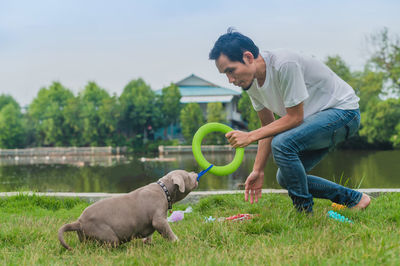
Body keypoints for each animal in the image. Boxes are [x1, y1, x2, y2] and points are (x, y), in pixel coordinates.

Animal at [58, 170, 198, 249]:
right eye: (188, 175)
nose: (195, 173)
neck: (164, 190)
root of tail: (79, 222)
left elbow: (149, 234)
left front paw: (148, 243)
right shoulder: (158, 219)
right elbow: (166, 230)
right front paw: (177, 242)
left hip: (85, 236)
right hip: (106, 234)